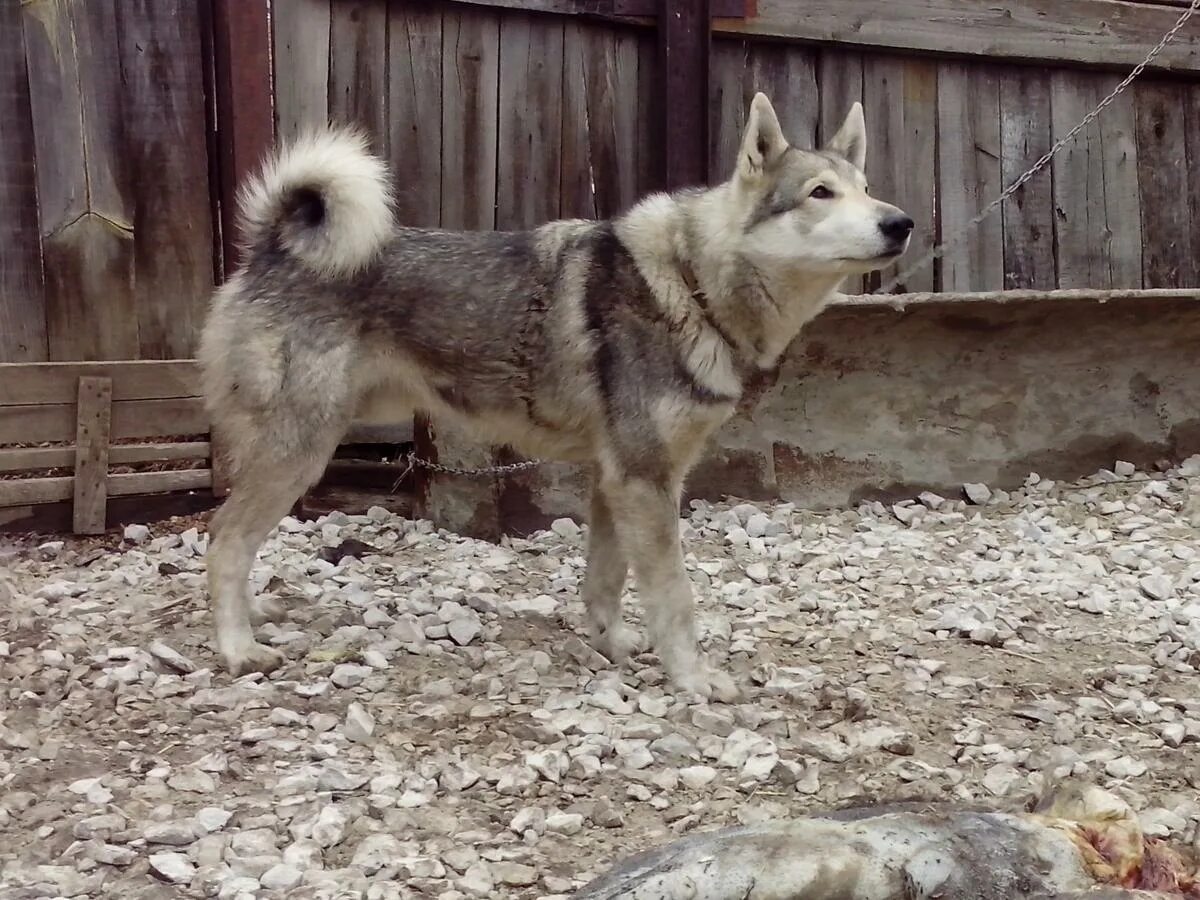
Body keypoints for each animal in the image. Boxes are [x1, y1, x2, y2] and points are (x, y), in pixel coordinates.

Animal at [199, 91, 907, 700]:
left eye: (867, 189)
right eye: (820, 193)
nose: (901, 222)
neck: (692, 282)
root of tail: (274, 246)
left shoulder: (616, 480)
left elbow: (607, 581)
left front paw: (612, 644)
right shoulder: (645, 480)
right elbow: (675, 597)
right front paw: (693, 679)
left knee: (237, 540)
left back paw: (254, 612)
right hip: (301, 452)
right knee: (224, 537)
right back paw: (237, 648)